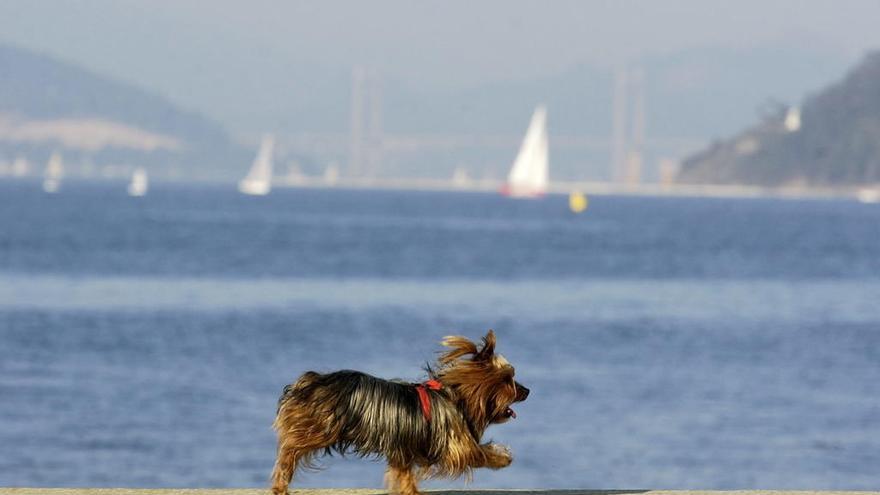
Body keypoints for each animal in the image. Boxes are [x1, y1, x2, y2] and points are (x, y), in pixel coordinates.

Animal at [268, 330, 528, 495]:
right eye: (509, 379)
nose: (527, 390)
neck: (456, 395)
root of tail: (313, 380)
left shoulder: (403, 451)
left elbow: (403, 475)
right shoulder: (454, 445)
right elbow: (476, 453)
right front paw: (503, 458)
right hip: (322, 426)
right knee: (291, 447)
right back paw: (281, 481)